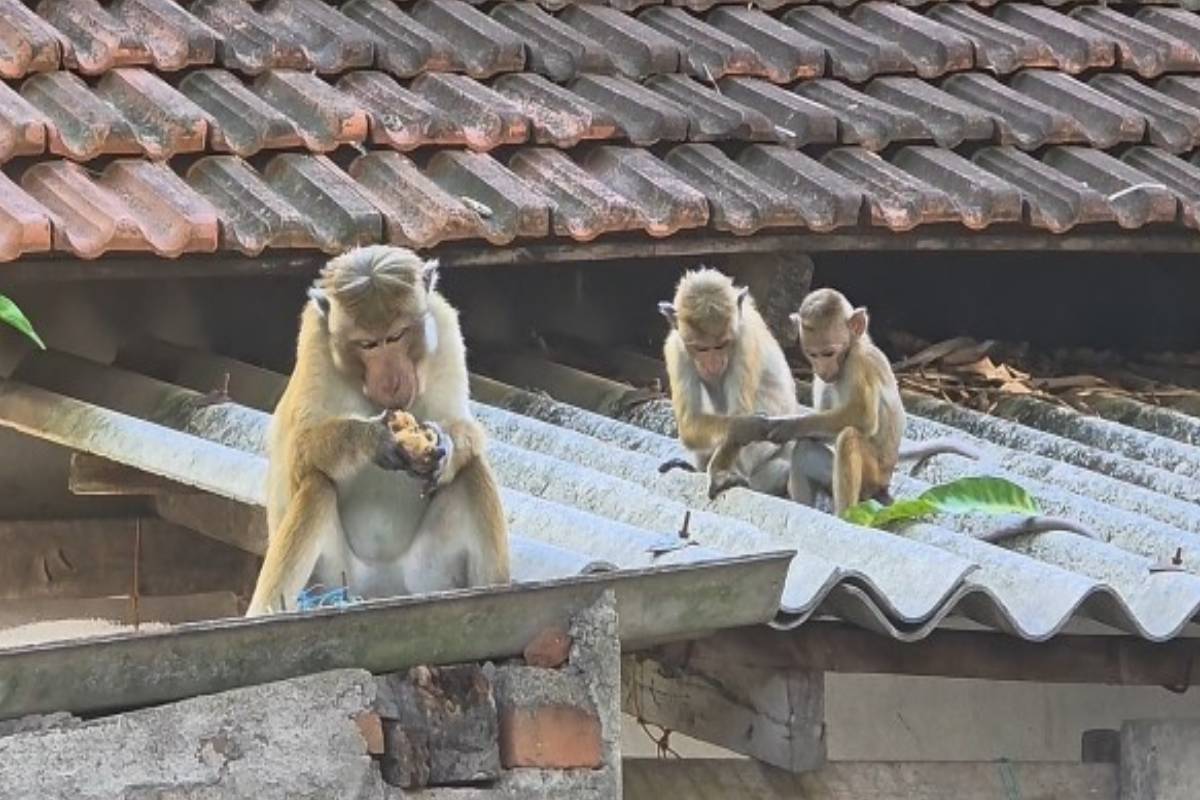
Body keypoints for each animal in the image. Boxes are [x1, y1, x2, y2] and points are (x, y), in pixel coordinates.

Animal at [246, 245, 509, 616]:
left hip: (424, 577)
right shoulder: (314, 345)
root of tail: (380, 591)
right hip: (336, 581)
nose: (392, 381)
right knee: (317, 489)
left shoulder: (445, 329)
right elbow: (295, 458)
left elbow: (461, 423)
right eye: (368, 345)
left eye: (397, 336)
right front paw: (373, 439)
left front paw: (443, 443)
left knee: (473, 472)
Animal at [658, 267, 802, 497]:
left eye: (721, 345)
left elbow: (739, 413)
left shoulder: (745, 341)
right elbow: (691, 422)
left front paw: (720, 472)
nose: (713, 363)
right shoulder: (676, 348)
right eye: (701, 348)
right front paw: (745, 427)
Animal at [709, 288, 980, 511]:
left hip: (872, 478)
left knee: (849, 437)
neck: (851, 351)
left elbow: (862, 417)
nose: (822, 368)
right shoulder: (823, 379)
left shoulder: (859, 363)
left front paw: (787, 425)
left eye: (829, 352)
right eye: (813, 354)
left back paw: (846, 515)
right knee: (806, 451)